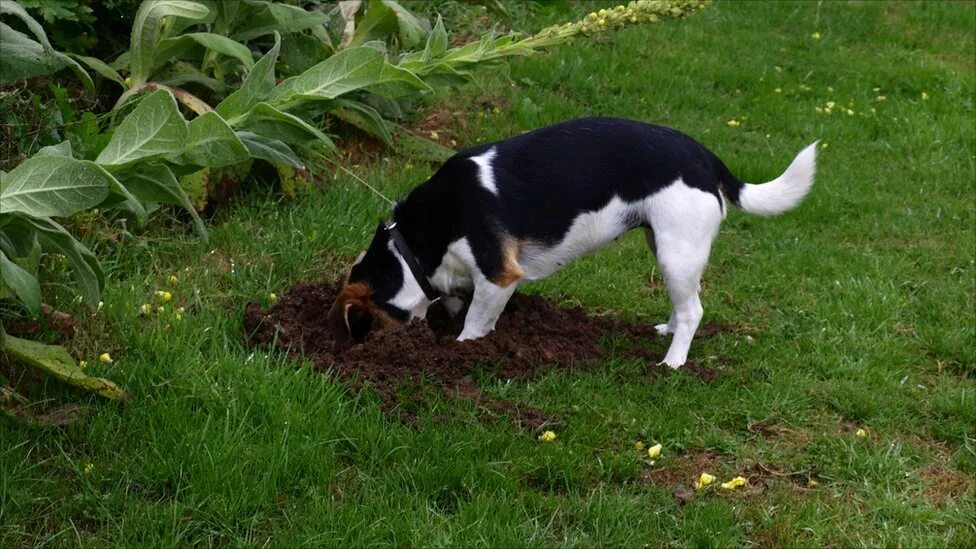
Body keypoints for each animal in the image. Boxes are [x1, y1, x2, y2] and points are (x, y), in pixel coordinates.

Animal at [328, 117, 816, 366]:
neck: (411, 244)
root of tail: (708, 159)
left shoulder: (498, 277)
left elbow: (476, 323)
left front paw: (462, 350)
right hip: (666, 245)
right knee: (685, 302)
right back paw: (668, 331)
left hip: (677, 249)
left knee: (694, 310)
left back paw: (672, 363)